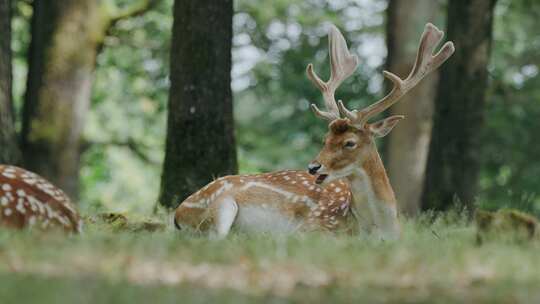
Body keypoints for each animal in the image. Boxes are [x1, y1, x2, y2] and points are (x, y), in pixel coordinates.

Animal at [175, 22, 454, 240]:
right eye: (325, 138)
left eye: (349, 142)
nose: (313, 167)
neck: (378, 229)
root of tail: (177, 214)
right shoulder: (312, 227)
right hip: (220, 206)